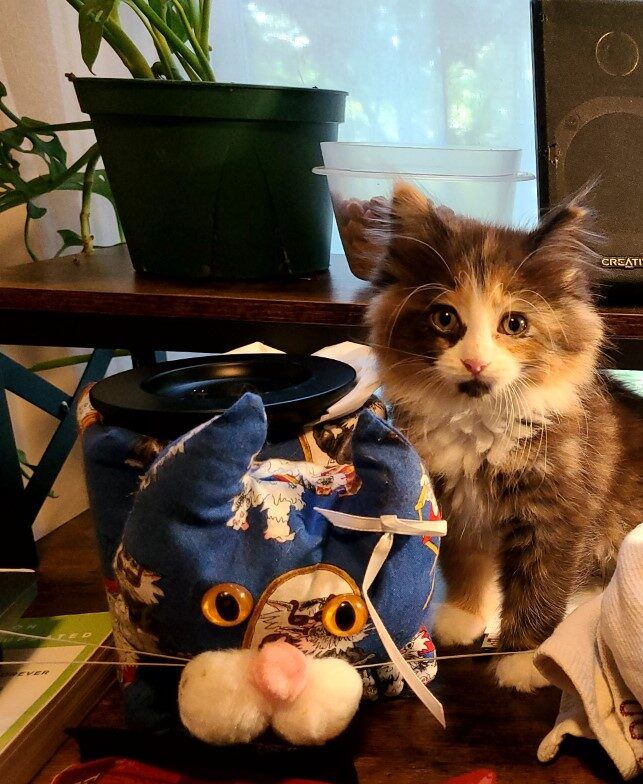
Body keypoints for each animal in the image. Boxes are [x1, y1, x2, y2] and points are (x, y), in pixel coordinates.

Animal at [368, 182, 643, 692]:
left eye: (514, 324)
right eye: (444, 318)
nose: (475, 362)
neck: (477, 425)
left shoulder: (555, 514)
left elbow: (541, 587)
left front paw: (525, 659)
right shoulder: (452, 501)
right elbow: (464, 563)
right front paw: (465, 616)